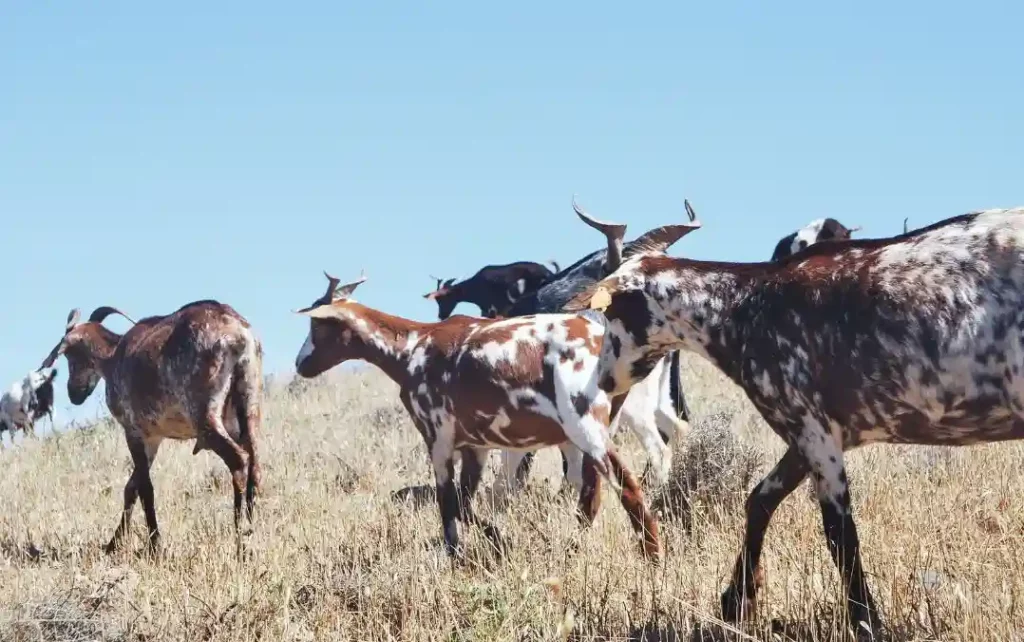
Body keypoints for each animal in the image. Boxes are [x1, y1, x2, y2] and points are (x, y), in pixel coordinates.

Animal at [38, 301, 264, 552]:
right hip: (250, 403)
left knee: (239, 459)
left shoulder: (134, 431)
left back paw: (240, 538)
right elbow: (132, 488)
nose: (74, 393)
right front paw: (113, 543)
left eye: (71, 357)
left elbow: (145, 489)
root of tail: (238, 335)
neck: (114, 358)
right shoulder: (154, 438)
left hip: (206, 415)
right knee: (255, 464)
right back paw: (251, 529)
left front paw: (155, 544)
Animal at [292, 274, 659, 561]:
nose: (300, 364)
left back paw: (653, 558)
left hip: (585, 427)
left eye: (317, 323)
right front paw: (499, 540)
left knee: (628, 488)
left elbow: (447, 505)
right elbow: (464, 504)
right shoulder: (475, 447)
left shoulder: (438, 439)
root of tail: (599, 339)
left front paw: (457, 556)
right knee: (591, 497)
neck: (412, 347)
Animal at [561, 205, 1024, 638]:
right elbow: (759, 500)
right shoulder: (809, 436)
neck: (744, 306)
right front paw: (738, 600)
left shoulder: (813, 431)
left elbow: (839, 534)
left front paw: (865, 623)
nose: (603, 380)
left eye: (611, 315)